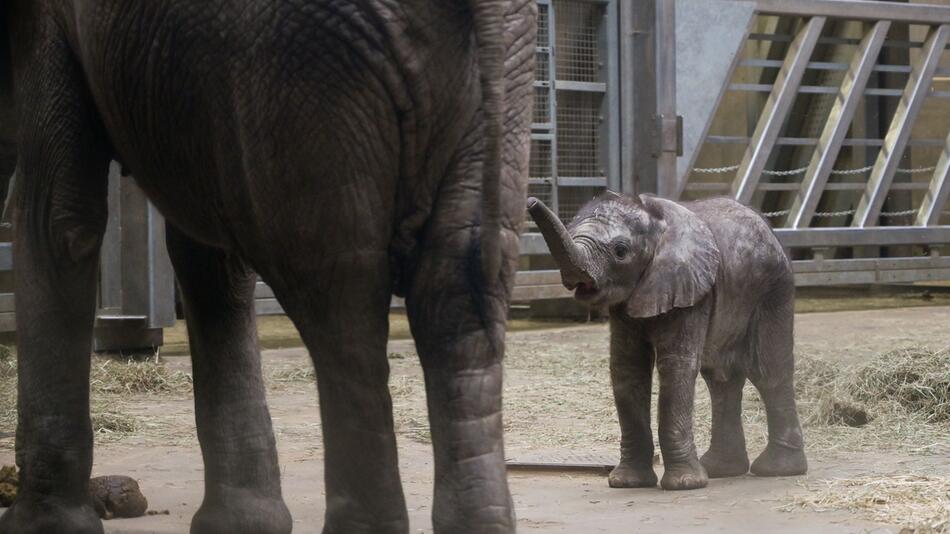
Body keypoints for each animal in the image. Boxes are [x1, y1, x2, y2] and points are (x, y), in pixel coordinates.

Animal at [0, 2, 536, 532]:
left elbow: (57, 220)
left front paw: (40, 525)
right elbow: (208, 253)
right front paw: (241, 525)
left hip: (308, 69)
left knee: (340, 302)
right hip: (499, 81)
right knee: (456, 299)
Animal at [532, 194, 808, 494]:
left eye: (620, 251)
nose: (531, 200)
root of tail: (766, 225)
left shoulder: (692, 291)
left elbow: (675, 367)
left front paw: (684, 485)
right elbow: (628, 369)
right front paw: (627, 483)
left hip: (773, 289)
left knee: (768, 372)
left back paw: (777, 470)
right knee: (721, 377)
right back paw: (721, 470)